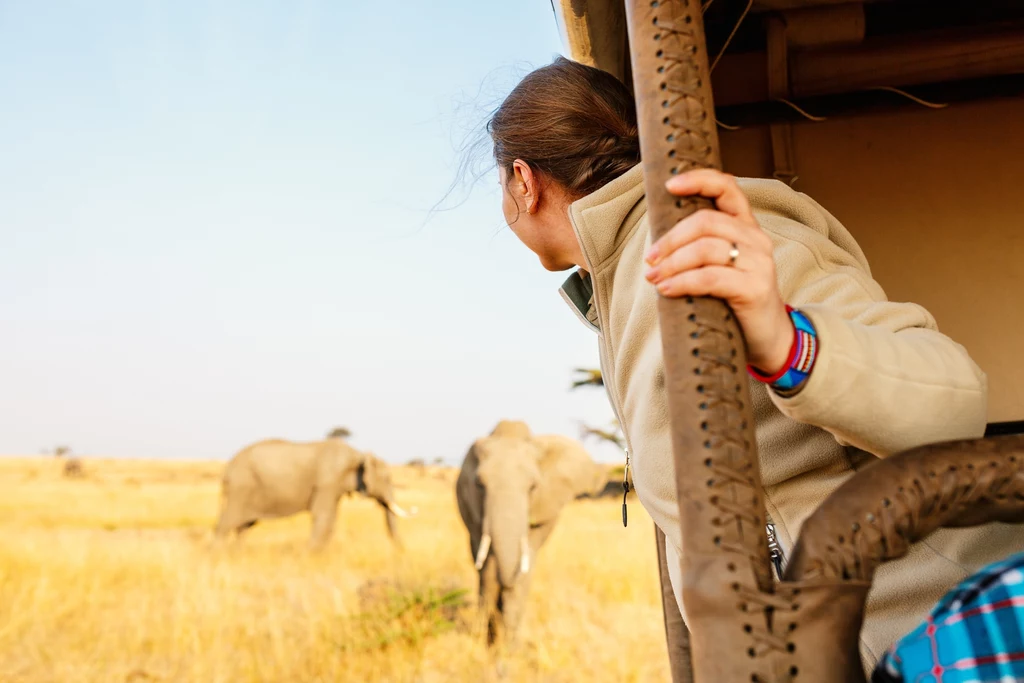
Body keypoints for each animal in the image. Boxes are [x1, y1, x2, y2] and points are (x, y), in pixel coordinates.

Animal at [214, 438, 409, 548]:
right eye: (386, 479)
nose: (400, 551)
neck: (356, 454)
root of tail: (228, 467)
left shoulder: (333, 487)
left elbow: (331, 519)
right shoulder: (327, 482)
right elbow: (323, 516)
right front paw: (310, 554)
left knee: (243, 527)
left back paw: (238, 553)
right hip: (240, 487)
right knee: (226, 525)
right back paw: (218, 555)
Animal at [456, 419, 606, 643]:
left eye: (533, 487)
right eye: (479, 484)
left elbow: (525, 564)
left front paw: (508, 644)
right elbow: (488, 568)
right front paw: (488, 640)